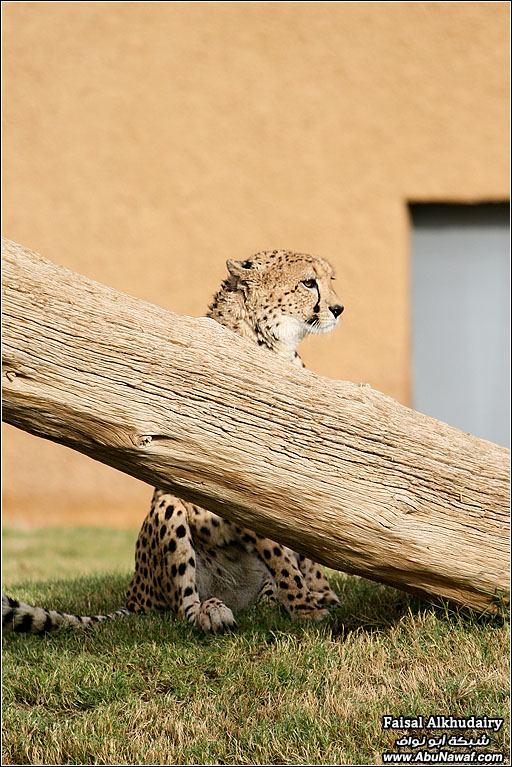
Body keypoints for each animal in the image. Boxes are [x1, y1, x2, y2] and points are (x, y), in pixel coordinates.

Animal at [3, 252, 344, 636]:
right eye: (308, 283)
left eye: (330, 279)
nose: (338, 308)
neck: (275, 346)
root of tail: (134, 596)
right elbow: (279, 552)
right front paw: (304, 607)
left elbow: (305, 542)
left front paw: (321, 593)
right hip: (168, 508)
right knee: (183, 607)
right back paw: (213, 613)